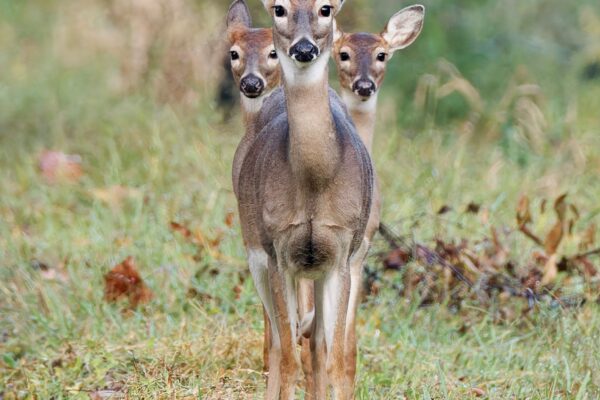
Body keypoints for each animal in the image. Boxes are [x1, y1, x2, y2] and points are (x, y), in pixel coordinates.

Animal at [229, 0, 370, 398]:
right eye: (279, 8)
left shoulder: (340, 255)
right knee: (279, 346)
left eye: (326, 8)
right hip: (256, 250)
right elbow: (288, 354)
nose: (304, 48)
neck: (313, 183)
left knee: (315, 345)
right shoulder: (277, 252)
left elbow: (333, 359)